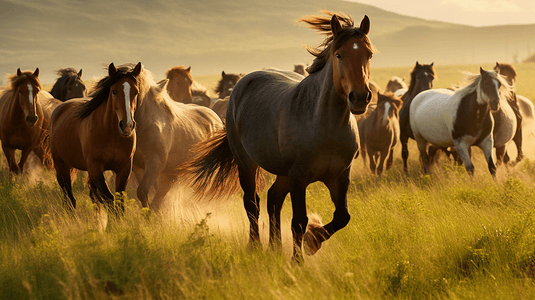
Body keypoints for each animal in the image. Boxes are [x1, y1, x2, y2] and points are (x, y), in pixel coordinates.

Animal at [49, 61, 144, 211]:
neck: (112, 135)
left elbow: (118, 202)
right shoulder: (95, 168)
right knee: (69, 199)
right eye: (113, 91)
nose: (127, 125)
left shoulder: (124, 168)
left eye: (136, 92)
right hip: (61, 165)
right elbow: (109, 199)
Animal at [178, 11, 374, 262]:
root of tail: (241, 83)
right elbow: (299, 221)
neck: (324, 127)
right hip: (247, 164)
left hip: (283, 173)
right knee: (252, 203)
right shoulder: (299, 177)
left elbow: (342, 217)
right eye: (339, 55)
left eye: (368, 54)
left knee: (273, 199)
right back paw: (255, 246)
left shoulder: (340, 177)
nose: (359, 98)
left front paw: (313, 240)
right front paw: (297, 261)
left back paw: (274, 246)